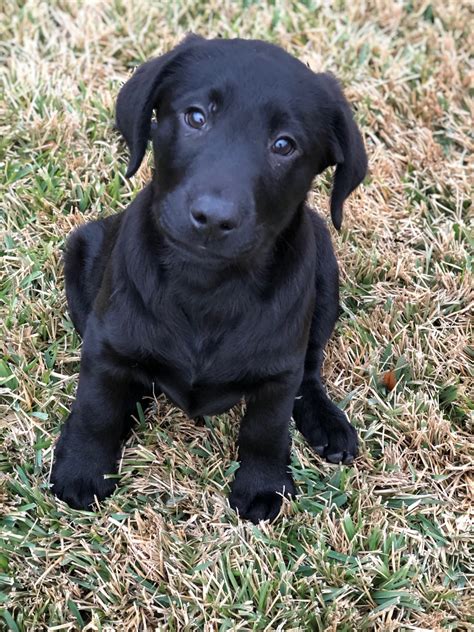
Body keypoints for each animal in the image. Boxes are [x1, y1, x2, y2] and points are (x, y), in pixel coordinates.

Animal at [52, 33, 370, 524]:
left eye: (284, 145)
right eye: (196, 117)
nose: (213, 218)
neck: (207, 285)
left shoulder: (278, 371)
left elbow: (266, 429)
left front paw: (262, 486)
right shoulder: (107, 343)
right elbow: (96, 407)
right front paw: (83, 468)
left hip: (324, 271)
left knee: (310, 370)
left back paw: (327, 423)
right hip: (82, 250)